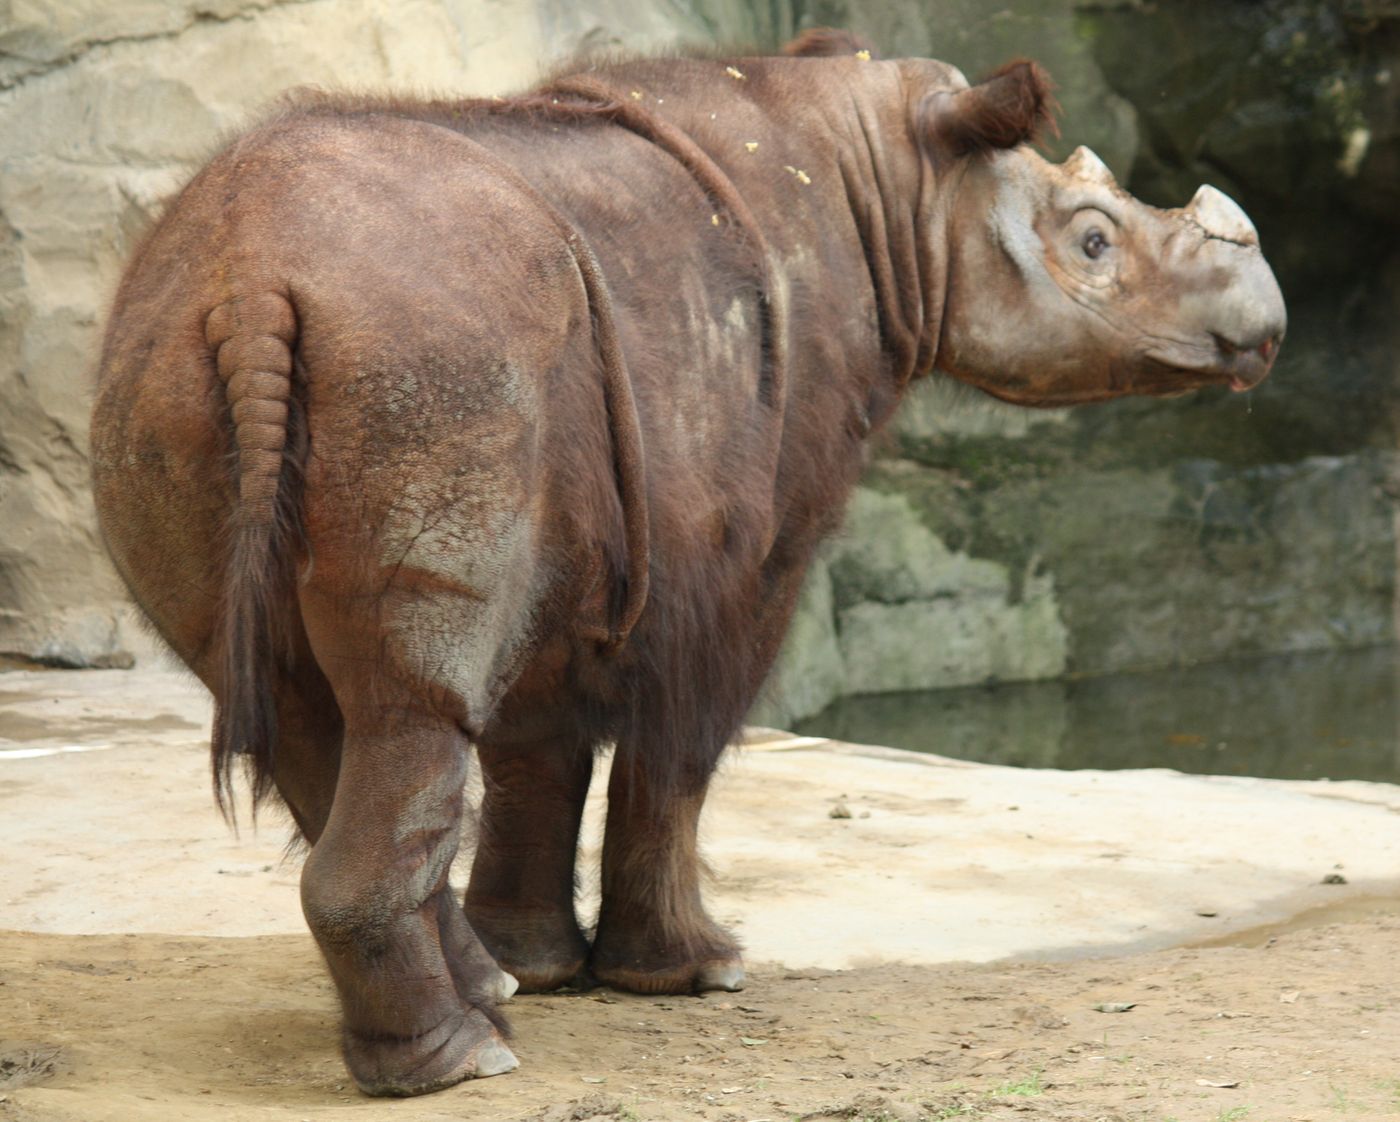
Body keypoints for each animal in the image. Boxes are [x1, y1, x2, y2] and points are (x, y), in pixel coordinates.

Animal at [93, 30, 1282, 1098]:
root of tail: (250, 279)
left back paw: (486, 1004)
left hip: (176, 365)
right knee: (412, 707)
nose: (1265, 329)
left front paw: (540, 966)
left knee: (319, 707)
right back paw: (457, 1063)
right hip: (425, 355)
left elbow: (537, 744)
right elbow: (681, 747)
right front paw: (696, 973)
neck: (898, 181)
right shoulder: (734, 548)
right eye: (1093, 244)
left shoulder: (577, 526)